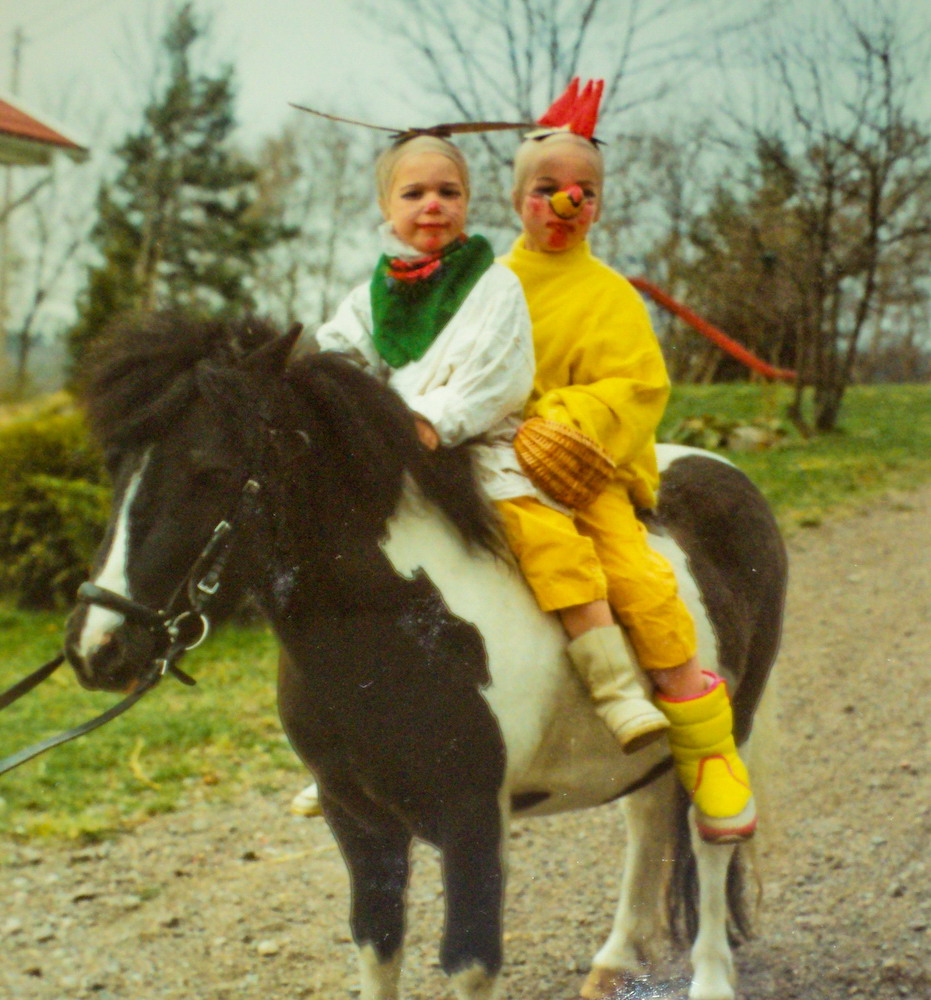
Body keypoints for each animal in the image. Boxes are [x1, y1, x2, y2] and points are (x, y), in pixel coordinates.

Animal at [63, 318, 788, 1000]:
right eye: (114, 466)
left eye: (209, 471)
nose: (97, 646)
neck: (402, 630)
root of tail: (726, 473)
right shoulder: (357, 819)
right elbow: (377, 941)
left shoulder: (473, 821)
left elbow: (469, 960)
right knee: (645, 823)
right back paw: (615, 961)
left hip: (737, 721)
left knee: (708, 839)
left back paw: (711, 977)